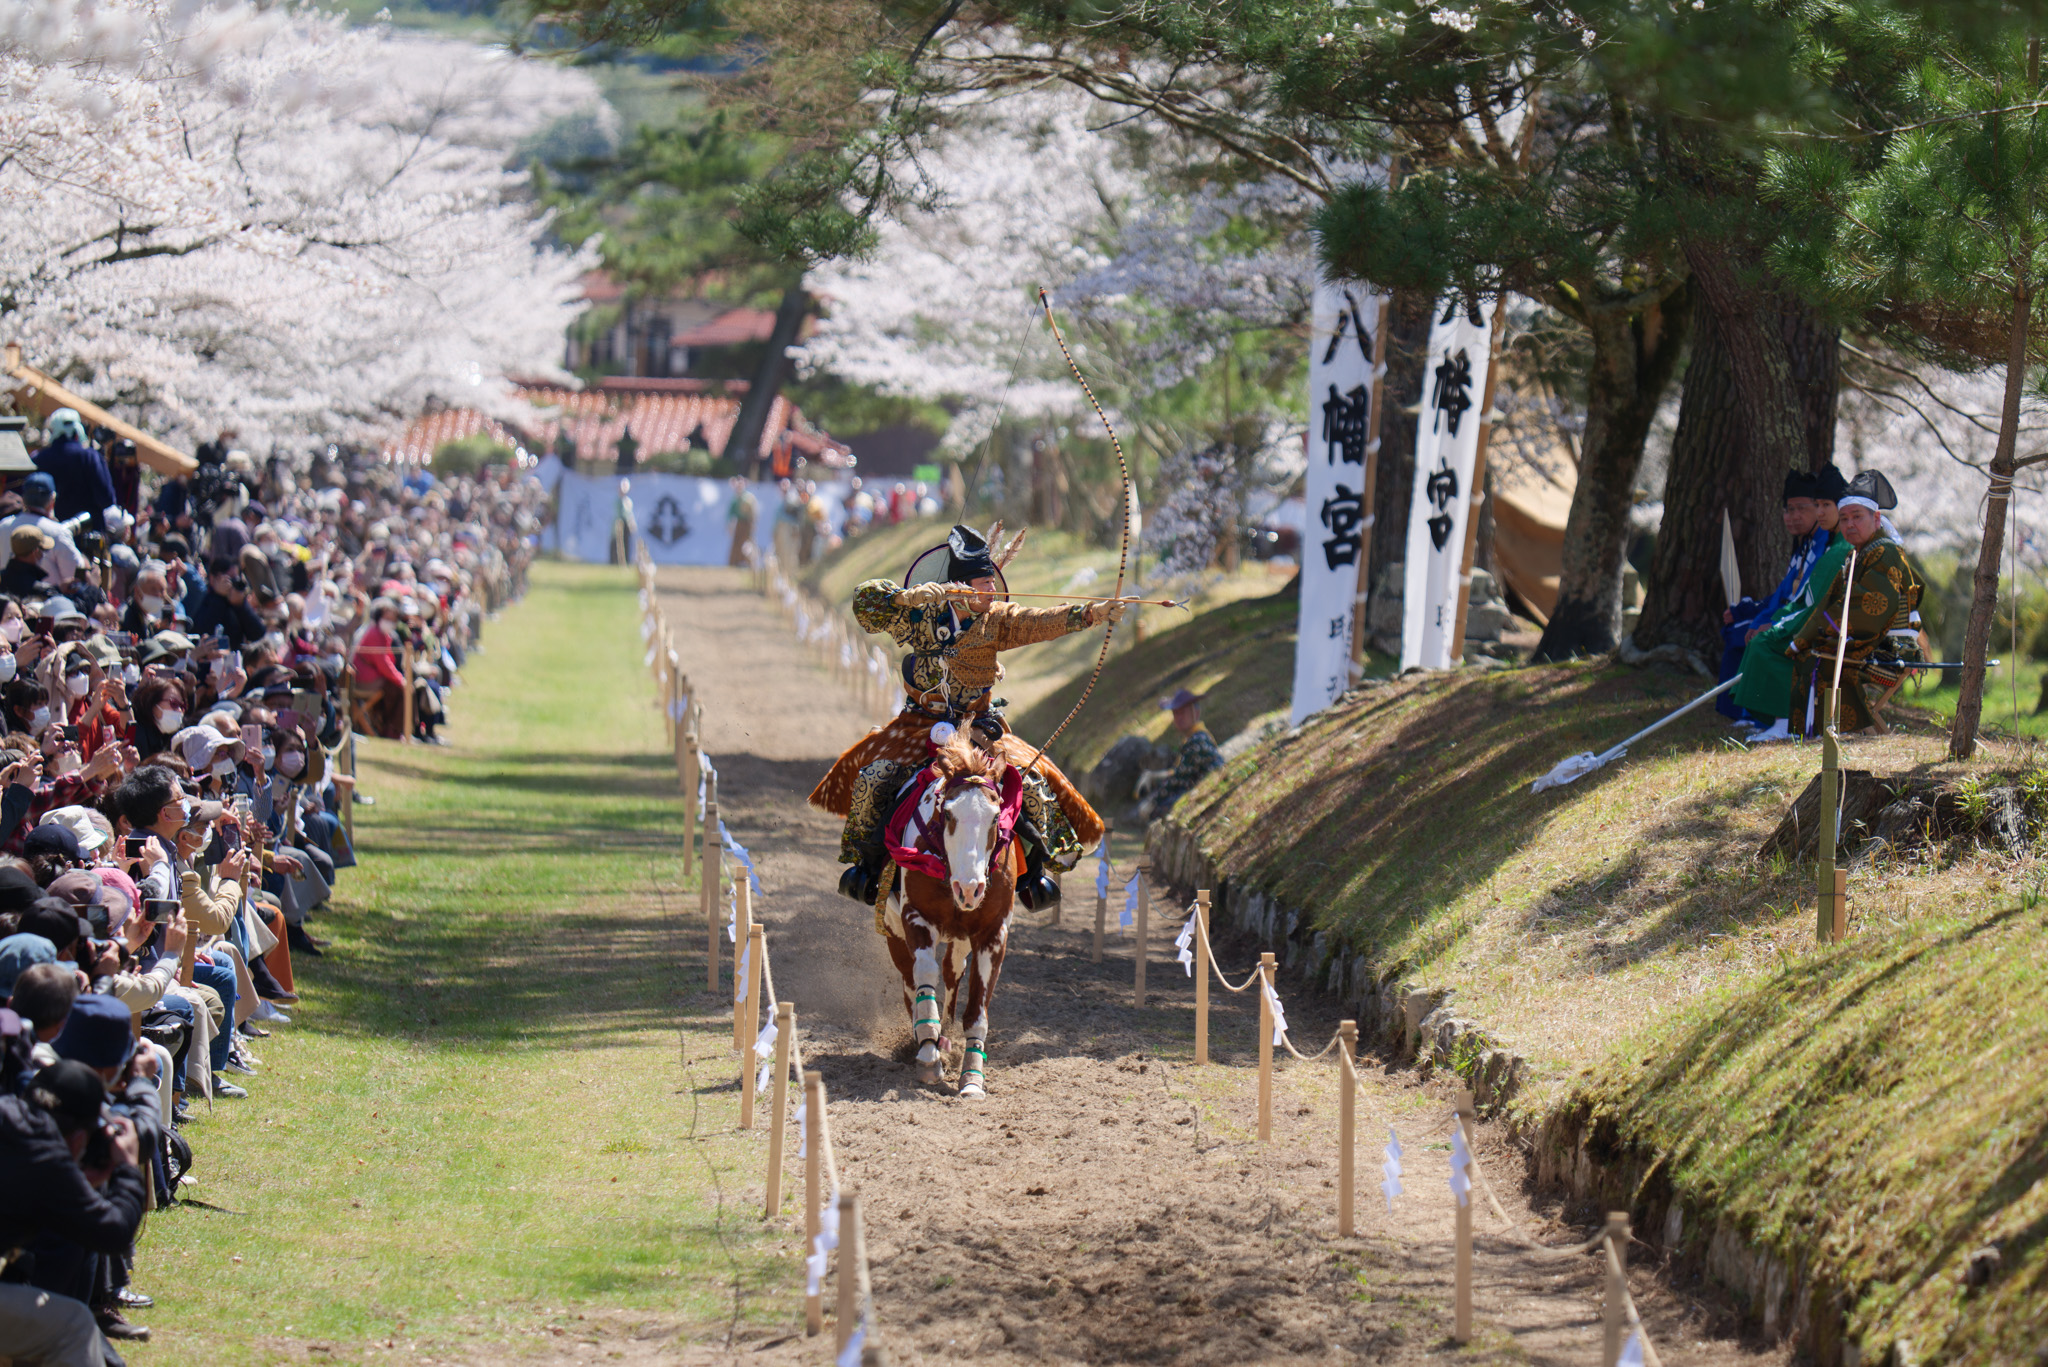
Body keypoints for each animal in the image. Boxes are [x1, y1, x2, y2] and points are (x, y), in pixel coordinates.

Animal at [880, 737, 1024, 1098]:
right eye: (947, 813)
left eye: (995, 817)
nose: (970, 889)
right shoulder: (915, 917)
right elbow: (923, 975)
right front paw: (928, 1057)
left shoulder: (992, 933)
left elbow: (977, 1010)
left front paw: (972, 1077)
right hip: (893, 932)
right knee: (910, 979)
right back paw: (925, 1041)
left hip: (960, 938)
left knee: (951, 972)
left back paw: (945, 1039)